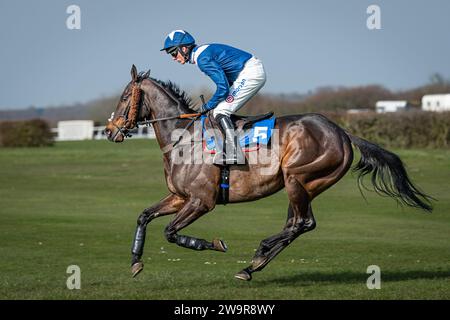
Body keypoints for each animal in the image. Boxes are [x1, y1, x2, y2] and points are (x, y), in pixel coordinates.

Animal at [104, 65, 432, 280]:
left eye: (124, 97)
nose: (109, 131)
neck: (183, 137)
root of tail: (342, 132)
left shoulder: (201, 201)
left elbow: (171, 232)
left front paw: (215, 244)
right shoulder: (179, 197)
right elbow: (144, 216)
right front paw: (135, 262)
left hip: (297, 178)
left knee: (302, 223)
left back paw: (258, 253)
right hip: (304, 186)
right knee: (298, 224)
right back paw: (253, 265)